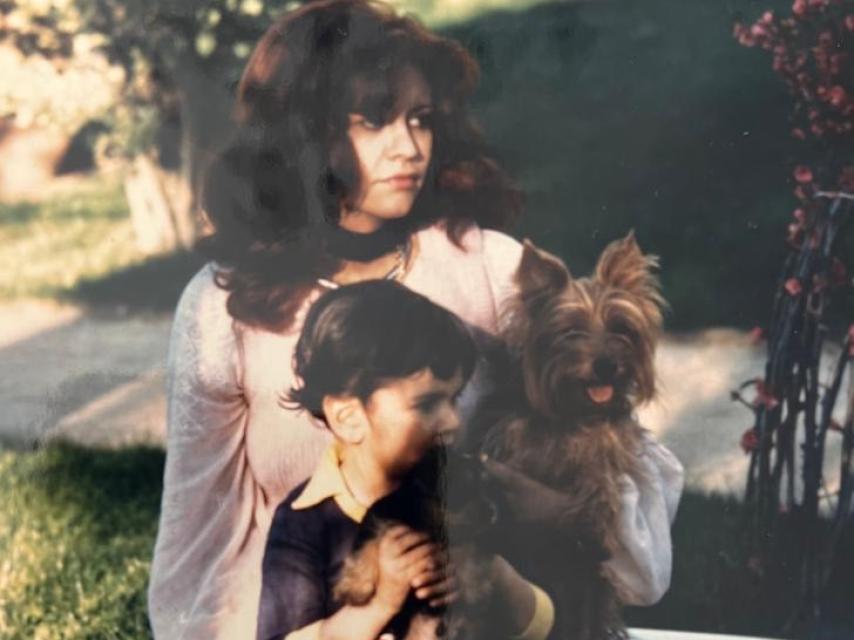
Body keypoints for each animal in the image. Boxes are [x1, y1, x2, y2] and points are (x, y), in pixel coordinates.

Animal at [332, 444, 502, 640]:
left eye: (488, 487)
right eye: (464, 488)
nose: (493, 512)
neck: (428, 521)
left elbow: (471, 553)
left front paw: (476, 589)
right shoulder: (380, 519)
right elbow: (366, 548)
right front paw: (355, 588)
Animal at [478, 234, 664, 640]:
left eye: (621, 329)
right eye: (571, 332)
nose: (607, 365)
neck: (574, 416)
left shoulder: (609, 446)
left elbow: (601, 475)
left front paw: (595, 514)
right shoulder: (510, 446)